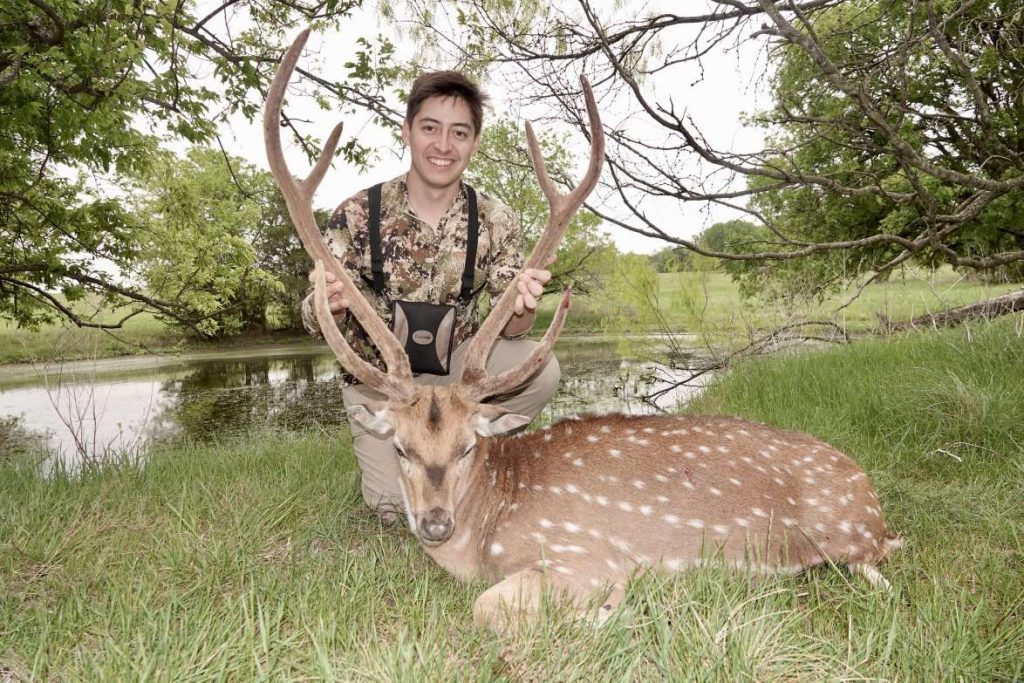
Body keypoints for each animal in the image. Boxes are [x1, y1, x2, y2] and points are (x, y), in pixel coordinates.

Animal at [265, 30, 902, 634]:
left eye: (468, 445)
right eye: (400, 446)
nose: (435, 524)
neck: (486, 536)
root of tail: (872, 501)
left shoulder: (585, 554)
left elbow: (488, 609)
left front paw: (619, 610)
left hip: (848, 541)